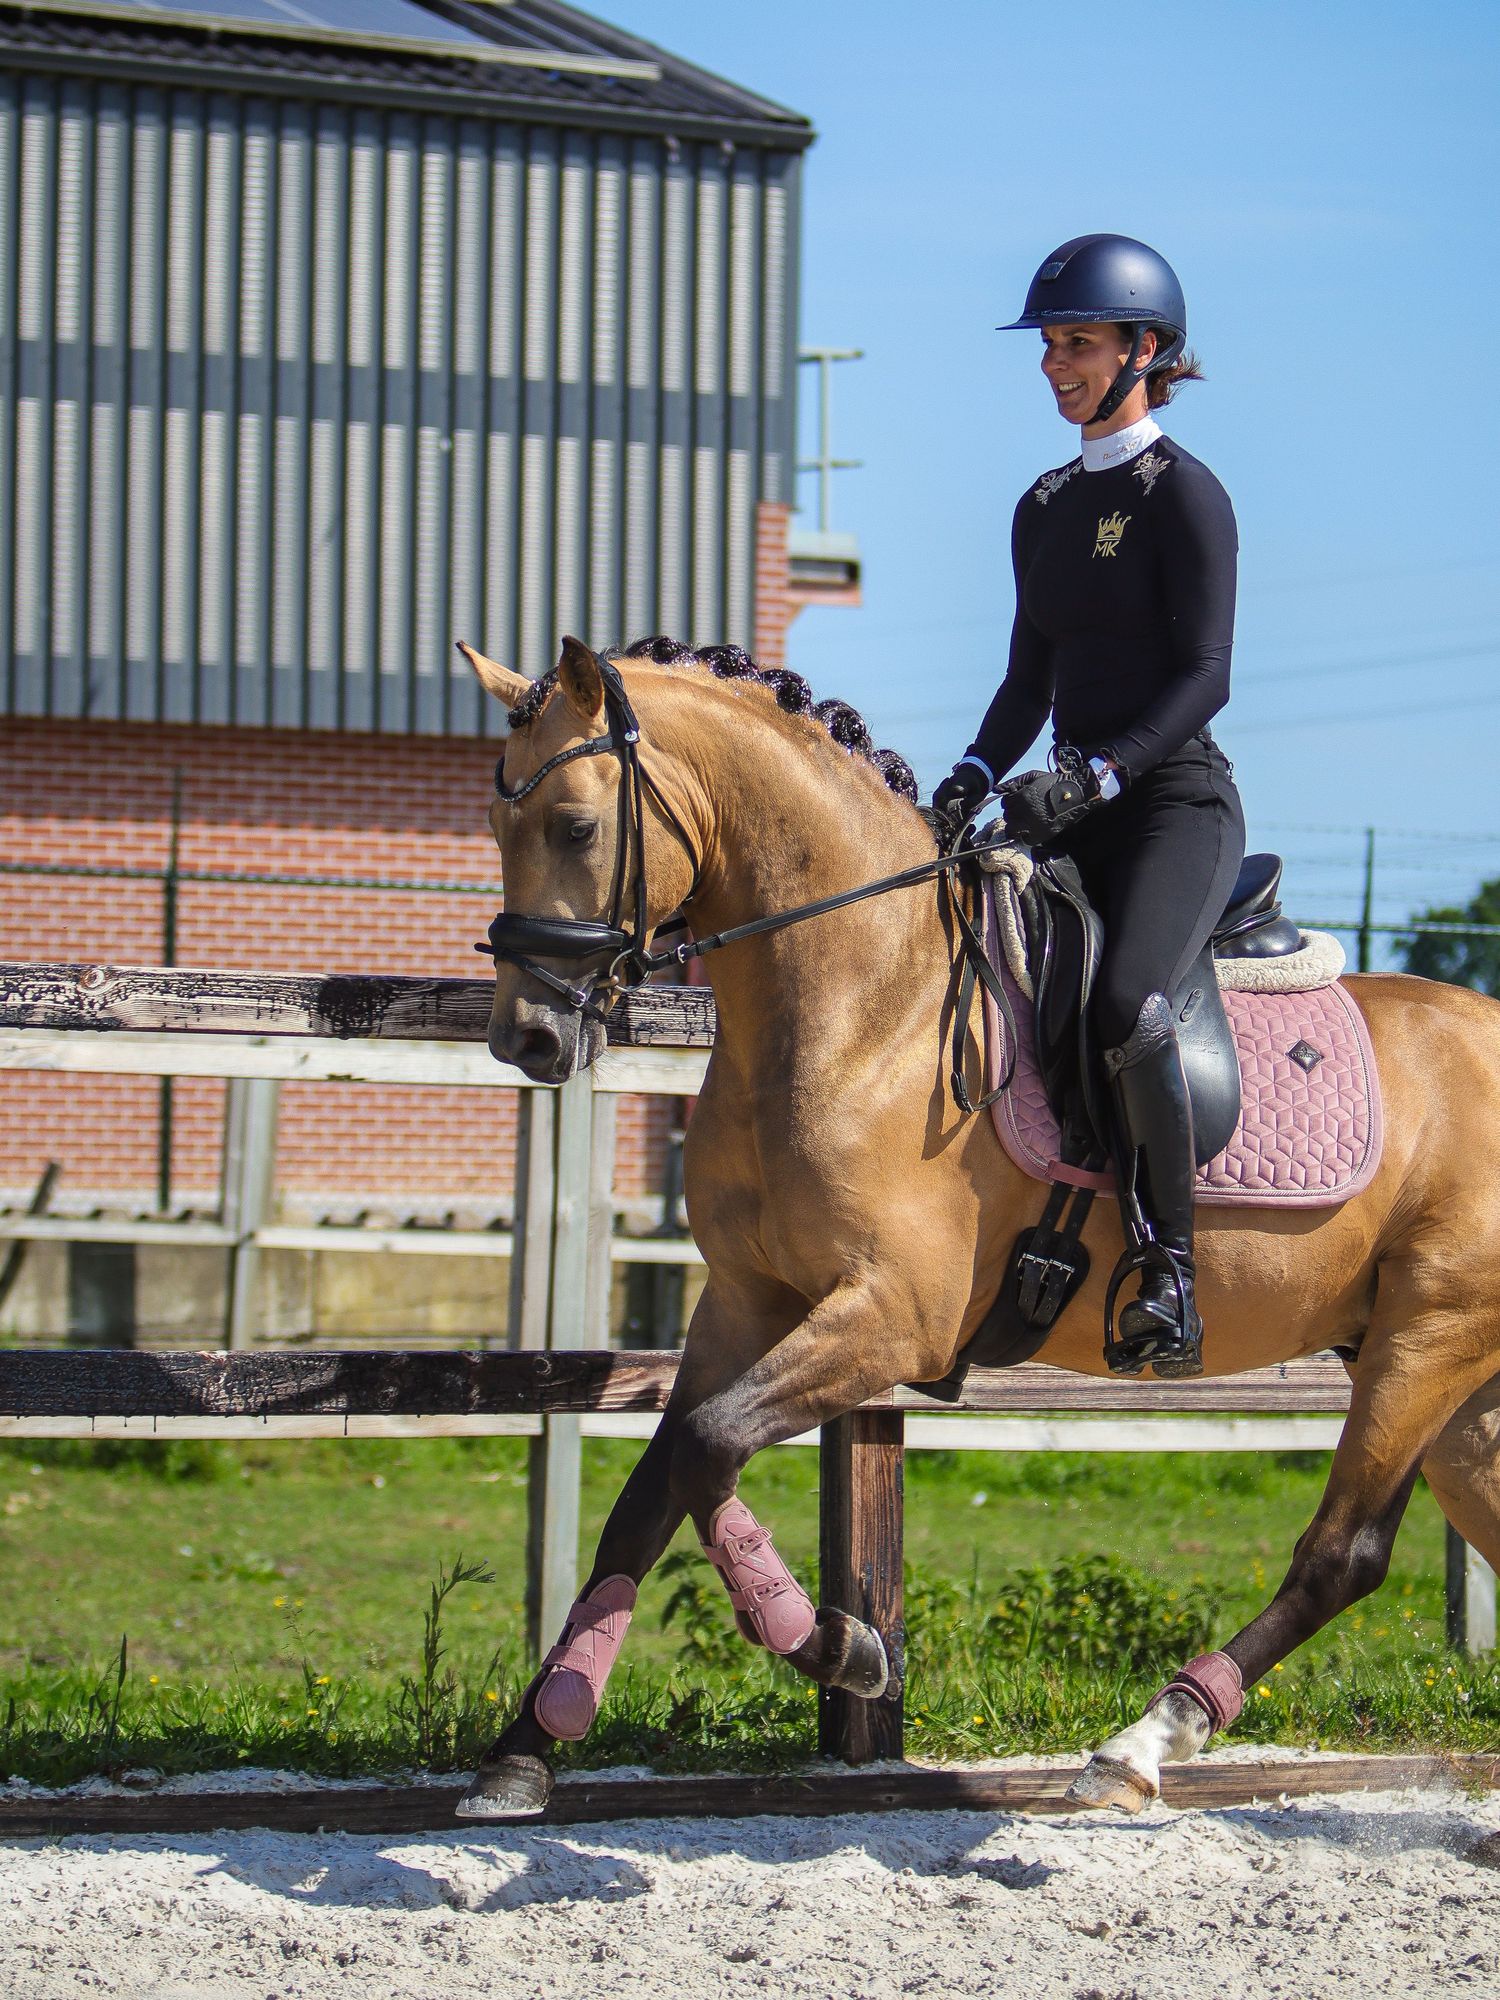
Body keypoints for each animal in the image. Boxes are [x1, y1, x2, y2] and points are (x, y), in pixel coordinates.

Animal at [453, 633, 1500, 1820]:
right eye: (496, 823)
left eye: (577, 827)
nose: (527, 1037)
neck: (870, 1003)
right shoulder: (746, 1299)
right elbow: (658, 1484)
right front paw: (528, 1745)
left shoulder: (893, 1318)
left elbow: (712, 1444)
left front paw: (845, 1648)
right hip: (1449, 1391)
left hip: (1427, 1341)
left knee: (1342, 1553)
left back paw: (1142, 1740)